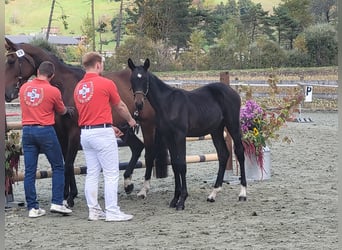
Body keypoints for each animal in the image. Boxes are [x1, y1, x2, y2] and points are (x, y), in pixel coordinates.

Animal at [5, 38, 168, 207]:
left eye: (11, 60)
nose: (7, 93)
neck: (65, 86)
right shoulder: (61, 134)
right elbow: (66, 163)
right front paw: (68, 194)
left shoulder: (74, 132)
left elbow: (69, 163)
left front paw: (69, 197)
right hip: (123, 127)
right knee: (137, 147)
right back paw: (128, 183)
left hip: (147, 125)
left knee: (149, 153)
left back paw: (144, 189)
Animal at [127, 57, 246, 210]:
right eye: (132, 79)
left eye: (145, 79)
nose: (139, 104)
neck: (168, 103)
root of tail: (233, 91)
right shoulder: (168, 137)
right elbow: (175, 165)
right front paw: (175, 199)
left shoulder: (180, 136)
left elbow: (182, 165)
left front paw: (182, 200)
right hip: (216, 130)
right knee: (223, 154)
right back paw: (213, 193)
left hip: (232, 125)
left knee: (240, 152)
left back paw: (242, 193)